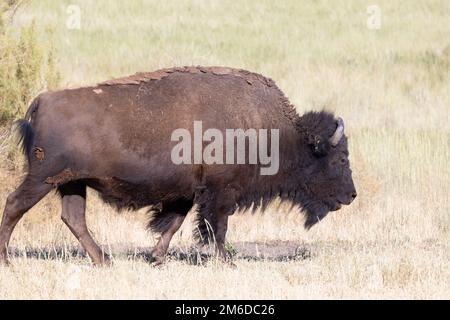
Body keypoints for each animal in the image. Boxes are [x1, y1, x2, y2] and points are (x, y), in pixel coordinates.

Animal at [0, 65, 356, 264]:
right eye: (339, 158)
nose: (351, 195)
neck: (276, 132)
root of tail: (41, 100)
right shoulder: (219, 193)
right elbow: (216, 227)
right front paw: (226, 262)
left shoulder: (186, 192)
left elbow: (174, 223)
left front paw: (157, 259)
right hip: (43, 179)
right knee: (14, 205)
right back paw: (6, 260)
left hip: (71, 183)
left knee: (73, 218)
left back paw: (104, 260)